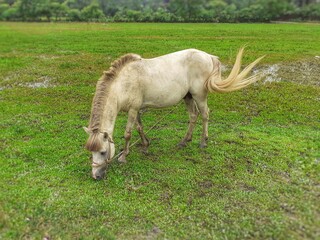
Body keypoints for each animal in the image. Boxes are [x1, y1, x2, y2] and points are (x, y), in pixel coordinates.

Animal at [84, 47, 264, 179]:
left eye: (103, 152)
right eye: (91, 152)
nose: (96, 176)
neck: (123, 83)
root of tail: (209, 56)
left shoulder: (133, 110)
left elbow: (128, 133)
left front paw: (123, 156)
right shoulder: (136, 110)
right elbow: (140, 128)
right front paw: (145, 144)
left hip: (199, 95)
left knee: (205, 115)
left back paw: (203, 141)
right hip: (188, 96)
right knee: (193, 116)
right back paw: (185, 141)